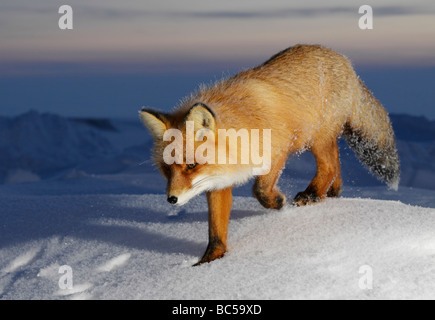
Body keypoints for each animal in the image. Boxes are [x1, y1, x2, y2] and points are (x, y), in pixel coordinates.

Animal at [141, 44, 402, 264]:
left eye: (191, 166)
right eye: (166, 169)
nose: (171, 199)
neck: (243, 127)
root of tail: (345, 61)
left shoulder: (277, 151)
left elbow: (260, 189)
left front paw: (278, 203)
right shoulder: (218, 182)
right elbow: (215, 228)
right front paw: (211, 261)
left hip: (316, 138)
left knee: (328, 166)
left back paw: (312, 194)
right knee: (335, 165)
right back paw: (329, 193)